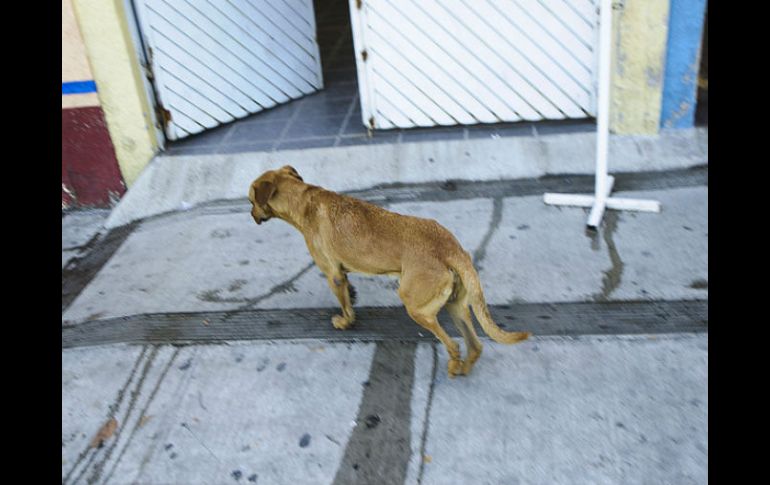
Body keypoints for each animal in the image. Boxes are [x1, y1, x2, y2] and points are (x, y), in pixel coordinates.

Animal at [248, 165, 528, 374]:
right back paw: (462, 369)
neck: (304, 200)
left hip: (417, 307)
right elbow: (349, 293)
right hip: (456, 305)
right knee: (475, 345)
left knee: (453, 344)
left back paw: (453, 366)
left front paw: (345, 321)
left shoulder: (332, 274)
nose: (251, 215)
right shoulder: (342, 272)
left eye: (250, 199)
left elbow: (344, 305)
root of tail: (452, 250)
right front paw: (352, 297)